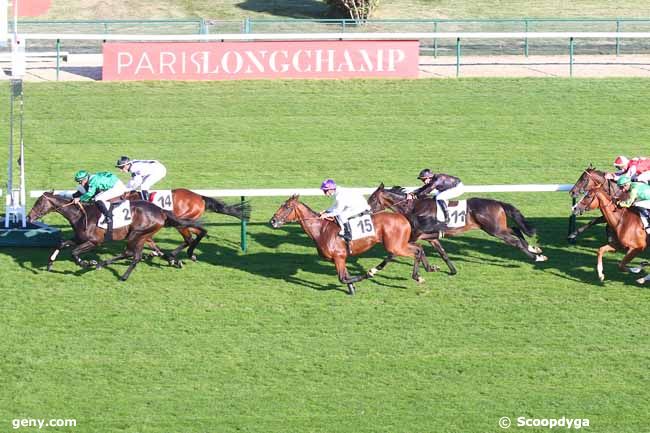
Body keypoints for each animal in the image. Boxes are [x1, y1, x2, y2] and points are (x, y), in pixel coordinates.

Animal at [27, 192, 202, 280]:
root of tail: (160, 210)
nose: (29, 217)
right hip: (142, 235)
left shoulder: (94, 242)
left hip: (137, 234)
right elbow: (62, 244)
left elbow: (74, 253)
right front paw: (50, 263)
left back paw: (120, 274)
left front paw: (87, 263)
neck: (80, 215)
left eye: (38, 203)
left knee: (132, 254)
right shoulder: (79, 238)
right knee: (133, 254)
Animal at [121, 186, 251, 260]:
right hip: (189, 221)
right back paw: (189, 254)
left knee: (189, 238)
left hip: (182, 222)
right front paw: (153, 253)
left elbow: (147, 240)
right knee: (201, 232)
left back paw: (171, 256)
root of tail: (200, 197)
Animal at [266, 195, 438, 294]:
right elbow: (345, 277)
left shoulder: (338, 256)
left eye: (287, 207)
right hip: (399, 243)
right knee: (419, 248)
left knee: (415, 251)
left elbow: (343, 278)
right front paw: (353, 288)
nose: (273, 221)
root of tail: (403, 217)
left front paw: (365, 275)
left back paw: (417, 276)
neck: (320, 230)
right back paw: (429, 268)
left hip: (395, 246)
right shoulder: (341, 258)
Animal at [368, 182, 544, 274]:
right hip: (498, 228)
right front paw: (445, 269)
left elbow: (393, 253)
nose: (366, 212)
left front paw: (374, 270)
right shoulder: (430, 237)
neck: (413, 208)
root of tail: (497, 203)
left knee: (515, 242)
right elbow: (441, 253)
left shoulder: (413, 236)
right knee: (515, 229)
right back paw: (535, 249)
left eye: (372, 199)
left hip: (495, 230)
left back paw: (536, 257)